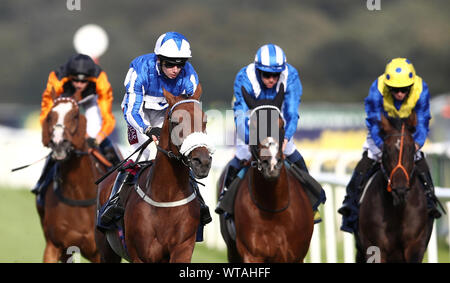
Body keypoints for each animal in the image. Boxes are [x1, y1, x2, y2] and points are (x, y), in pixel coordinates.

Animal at [37, 96, 106, 264]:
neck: (78, 194)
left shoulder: (98, 253)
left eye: (75, 116)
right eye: (50, 116)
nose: (58, 144)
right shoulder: (54, 246)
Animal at [95, 85, 214, 264]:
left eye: (204, 120)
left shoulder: (183, 249)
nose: (203, 162)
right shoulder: (140, 255)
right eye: (176, 121)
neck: (166, 197)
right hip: (106, 248)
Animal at [218, 85, 312, 262]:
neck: (273, 209)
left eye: (281, 124)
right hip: (232, 249)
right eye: (254, 125)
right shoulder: (252, 253)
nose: (272, 164)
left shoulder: (295, 255)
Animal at [356, 113, 434, 264]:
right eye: (386, 151)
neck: (397, 212)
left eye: (411, 149)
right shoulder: (375, 247)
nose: (400, 191)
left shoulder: (415, 245)